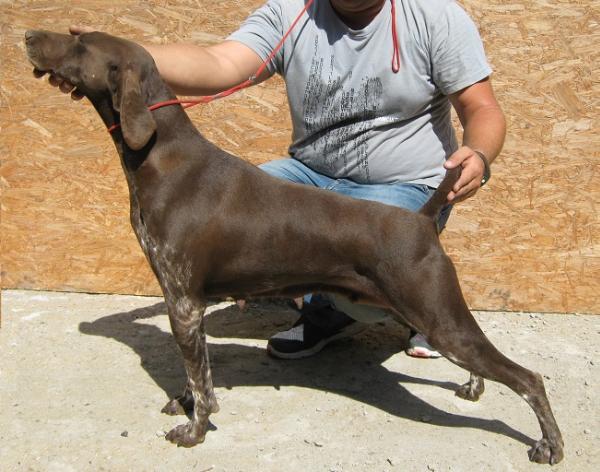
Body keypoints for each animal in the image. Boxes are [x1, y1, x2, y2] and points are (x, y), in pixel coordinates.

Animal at [25, 29, 564, 464]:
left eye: (78, 41)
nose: (29, 34)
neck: (159, 157)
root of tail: (421, 220)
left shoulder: (183, 301)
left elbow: (201, 380)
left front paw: (194, 428)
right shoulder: (185, 306)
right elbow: (196, 374)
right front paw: (186, 403)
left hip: (437, 315)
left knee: (529, 379)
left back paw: (550, 445)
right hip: (430, 315)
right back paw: (473, 387)